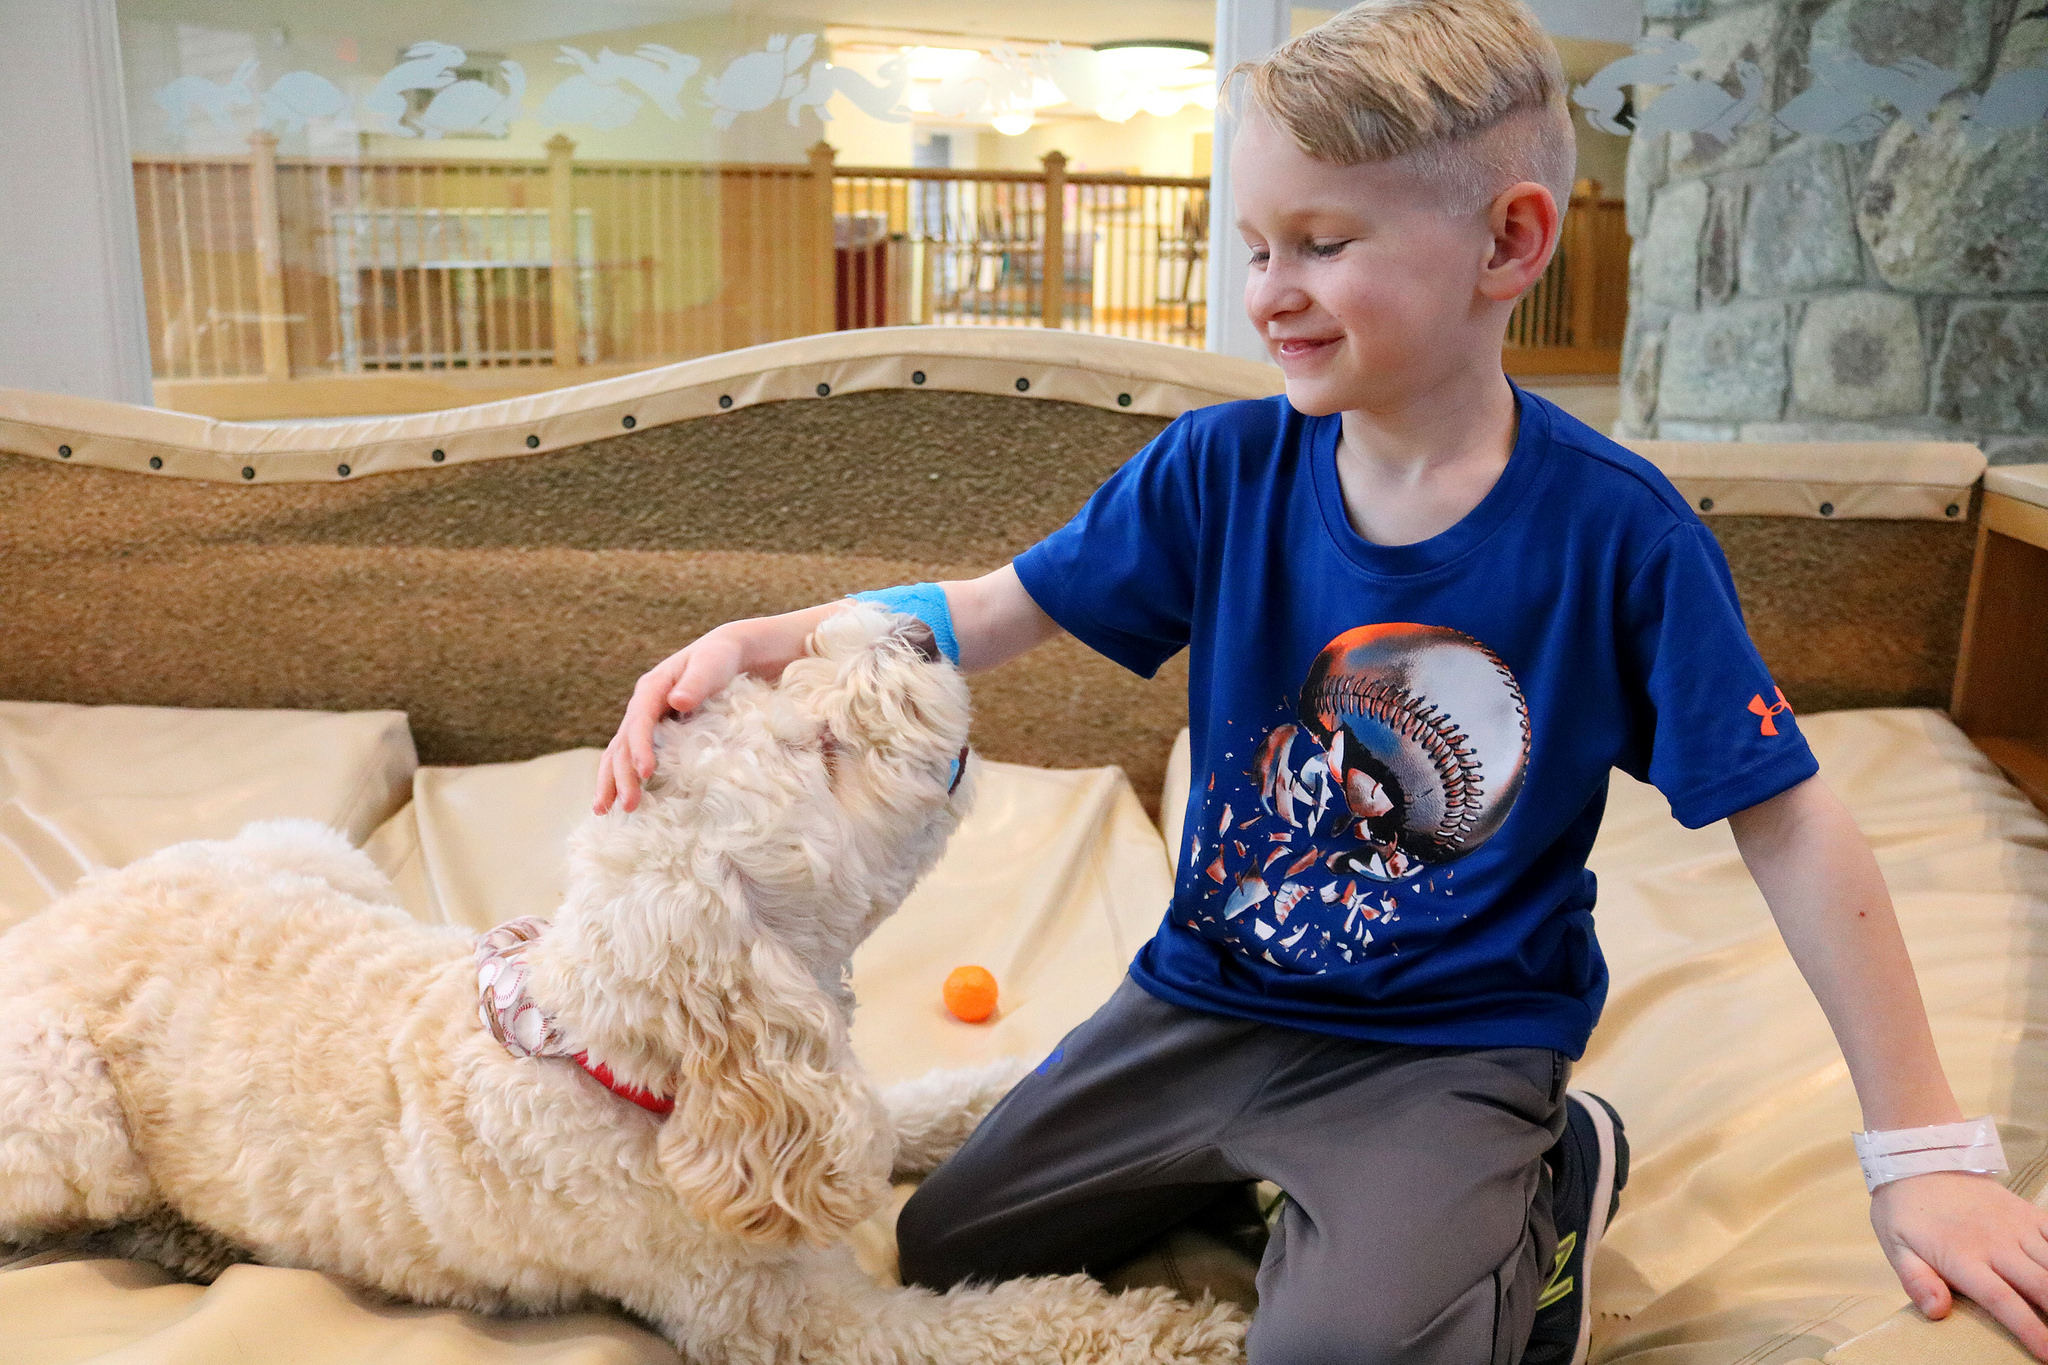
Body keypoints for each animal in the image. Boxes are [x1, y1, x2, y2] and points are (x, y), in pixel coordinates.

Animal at [0, 609, 1245, 1365]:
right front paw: (1170, 1331)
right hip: (61, 1110)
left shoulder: (836, 1108)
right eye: (818, 751)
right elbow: (1002, 1326)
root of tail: (55, 912)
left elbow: (940, 1104)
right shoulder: (793, 1321)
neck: (634, 1063)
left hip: (310, 849)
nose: (910, 625)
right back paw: (182, 1237)